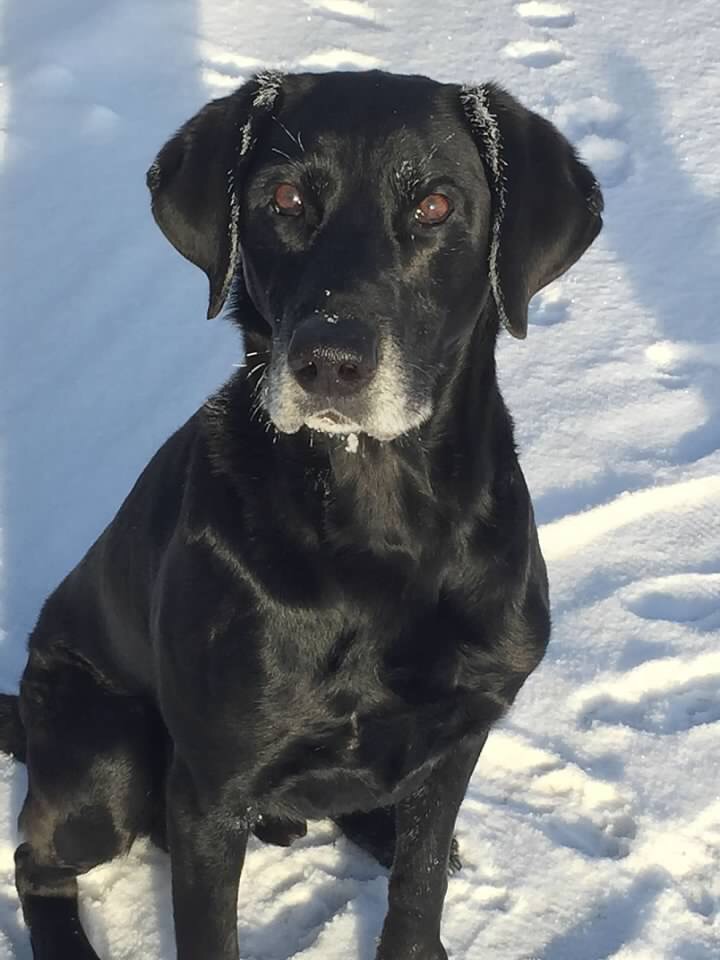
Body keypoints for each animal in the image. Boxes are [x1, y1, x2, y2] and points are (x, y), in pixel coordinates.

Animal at [0, 71, 600, 956]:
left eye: (436, 206)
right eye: (285, 199)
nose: (331, 361)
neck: (378, 527)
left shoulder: (459, 736)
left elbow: (418, 887)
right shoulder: (211, 793)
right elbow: (209, 933)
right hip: (106, 764)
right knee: (35, 860)